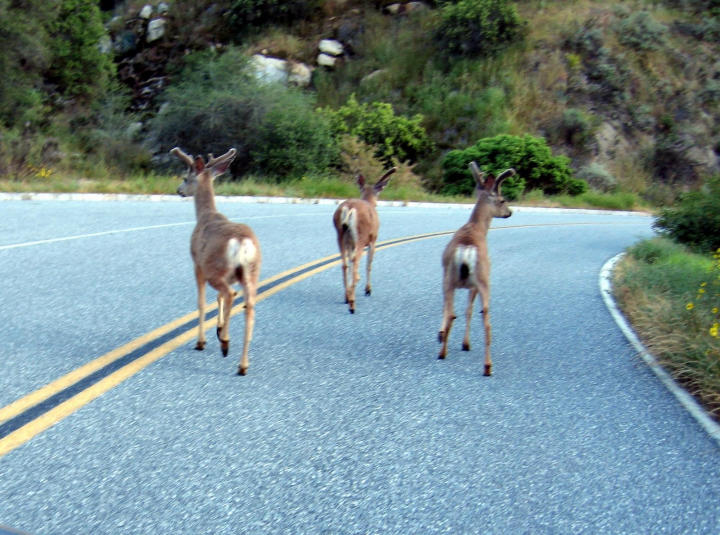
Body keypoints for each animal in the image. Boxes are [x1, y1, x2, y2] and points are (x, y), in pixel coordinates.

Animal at [170, 144, 260, 374]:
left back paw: (225, 344)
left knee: (230, 294)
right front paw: (218, 327)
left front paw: (202, 341)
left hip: (215, 269)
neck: (206, 215)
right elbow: (217, 299)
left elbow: (202, 303)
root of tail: (242, 242)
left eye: (185, 177)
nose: (178, 190)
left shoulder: (197, 264)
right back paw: (242, 364)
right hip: (251, 273)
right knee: (249, 307)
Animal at [334, 169, 396, 314]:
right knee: (356, 266)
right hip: (361, 238)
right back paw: (352, 304)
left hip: (340, 235)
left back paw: (347, 297)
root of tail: (349, 207)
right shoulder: (373, 240)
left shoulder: (350, 244)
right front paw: (368, 289)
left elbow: (350, 264)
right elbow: (369, 264)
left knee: (345, 265)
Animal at [436, 161, 516, 374]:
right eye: (503, 200)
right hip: (482, 280)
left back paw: (443, 350)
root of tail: (466, 251)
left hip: (449, 279)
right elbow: (469, 311)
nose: (510, 212)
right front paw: (465, 344)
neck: (475, 228)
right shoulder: (473, 286)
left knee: (450, 312)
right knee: (485, 321)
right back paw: (487, 366)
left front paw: (440, 334)